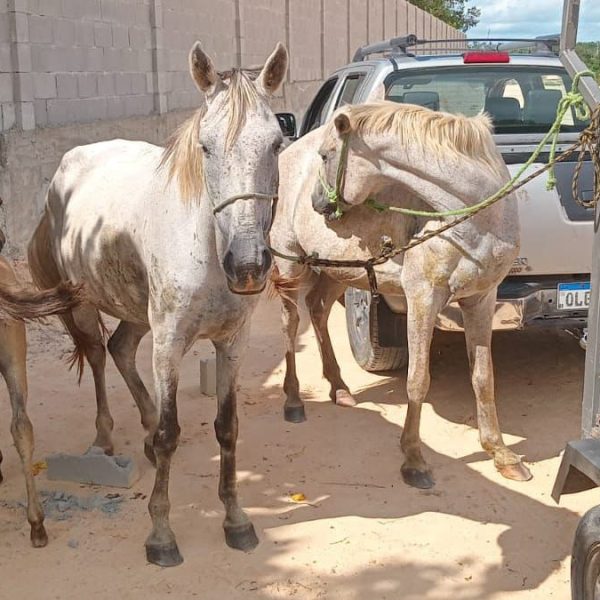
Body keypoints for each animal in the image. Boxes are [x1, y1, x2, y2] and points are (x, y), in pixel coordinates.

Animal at [28, 42, 288, 568]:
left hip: (135, 310)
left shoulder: (233, 342)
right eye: (205, 147)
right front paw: (161, 535)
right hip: (86, 304)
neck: (207, 245)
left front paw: (236, 520)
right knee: (97, 356)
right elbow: (172, 432)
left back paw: (142, 434)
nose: (248, 264)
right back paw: (106, 438)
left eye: (275, 143)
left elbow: (228, 427)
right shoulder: (169, 342)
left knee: (121, 349)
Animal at [270, 101, 532, 490]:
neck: (476, 217)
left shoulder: (482, 299)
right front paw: (414, 460)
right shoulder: (423, 298)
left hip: (341, 269)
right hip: (290, 264)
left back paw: (339, 387)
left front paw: (501, 454)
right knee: (291, 324)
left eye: (326, 154)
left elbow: (483, 377)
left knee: (317, 310)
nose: (318, 203)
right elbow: (418, 380)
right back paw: (292, 400)